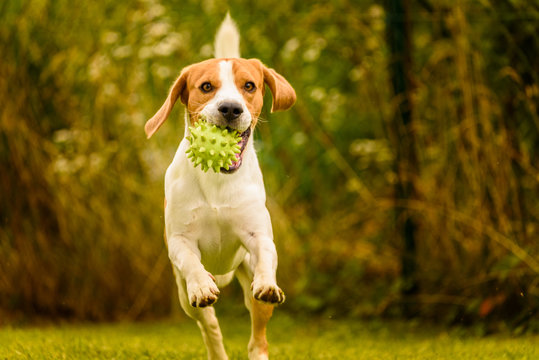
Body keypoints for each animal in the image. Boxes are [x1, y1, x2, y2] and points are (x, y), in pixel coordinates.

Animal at [143, 14, 296, 360]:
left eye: (249, 86)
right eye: (206, 87)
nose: (230, 108)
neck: (218, 179)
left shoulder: (258, 235)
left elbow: (266, 253)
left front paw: (268, 282)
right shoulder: (180, 241)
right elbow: (190, 261)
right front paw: (202, 284)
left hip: (250, 289)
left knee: (257, 336)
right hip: (185, 300)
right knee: (209, 324)